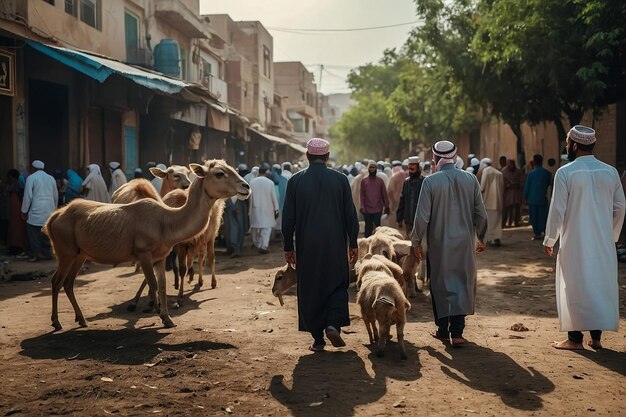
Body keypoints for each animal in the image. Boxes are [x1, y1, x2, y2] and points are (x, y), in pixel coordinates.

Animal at [42, 161, 249, 330]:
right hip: (65, 252)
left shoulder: (161, 257)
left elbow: (162, 285)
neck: (165, 222)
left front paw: (168, 318)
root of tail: (55, 216)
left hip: (80, 254)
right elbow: (153, 283)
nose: (245, 186)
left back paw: (81, 319)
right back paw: (56, 321)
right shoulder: (144, 254)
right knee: (56, 281)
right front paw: (157, 312)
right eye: (219, 173)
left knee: (68, 283)